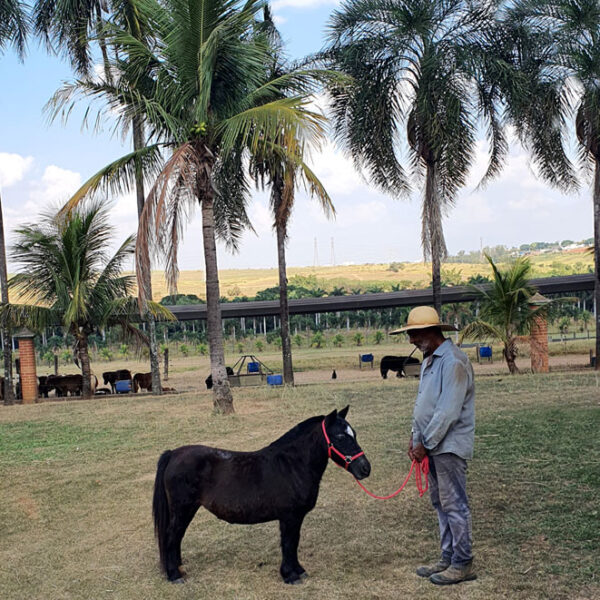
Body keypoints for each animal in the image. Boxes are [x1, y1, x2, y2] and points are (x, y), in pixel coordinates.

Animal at [154, 406, 370, 584]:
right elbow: (289, 543)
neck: (292, 465)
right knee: (171, 536)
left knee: (177, 536)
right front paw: (290, 575)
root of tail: (173, 454)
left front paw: (299, 570)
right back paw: (175, 575)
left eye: (354, 434)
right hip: (183, 509)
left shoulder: (296, 517)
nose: (365, 468)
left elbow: (294, 542)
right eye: (340, 436)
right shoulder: (289, 517)